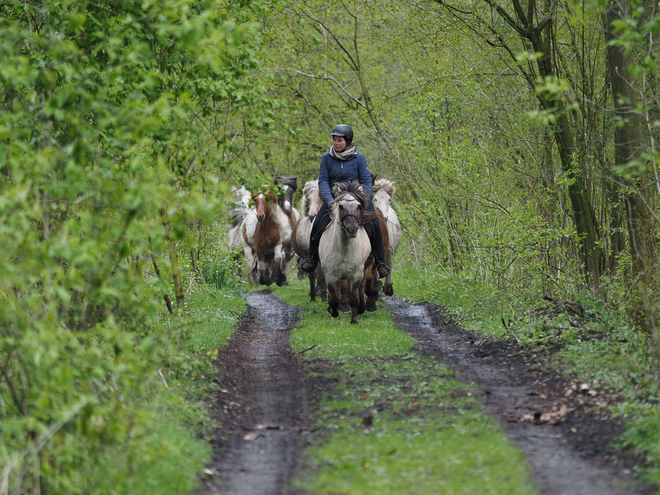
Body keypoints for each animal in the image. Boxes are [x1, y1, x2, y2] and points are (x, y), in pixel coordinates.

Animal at [320, 180, 376, 324]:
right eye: (341, 206)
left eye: (358, 206)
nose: (352, 229)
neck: (344, 248)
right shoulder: (331, 275)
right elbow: (334, 298)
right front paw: (333, 311)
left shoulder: (356, 274)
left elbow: (353, 298)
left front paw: (354, 320)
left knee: (361, 287)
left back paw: (362, 307)